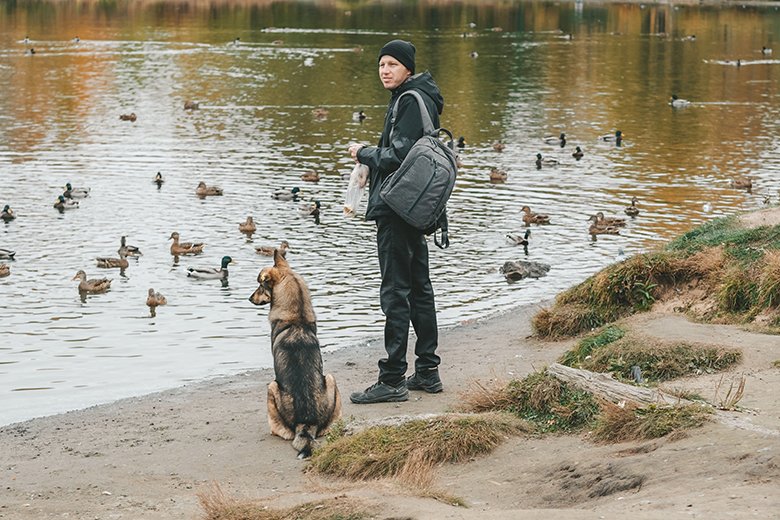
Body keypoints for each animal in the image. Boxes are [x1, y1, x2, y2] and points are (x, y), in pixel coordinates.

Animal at [247, 250, 338, 458]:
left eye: (260, 285)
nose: (249, 299)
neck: (297, 318)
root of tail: (306, 422)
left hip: (271, 386)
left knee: (280, 431)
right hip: (331, 378)